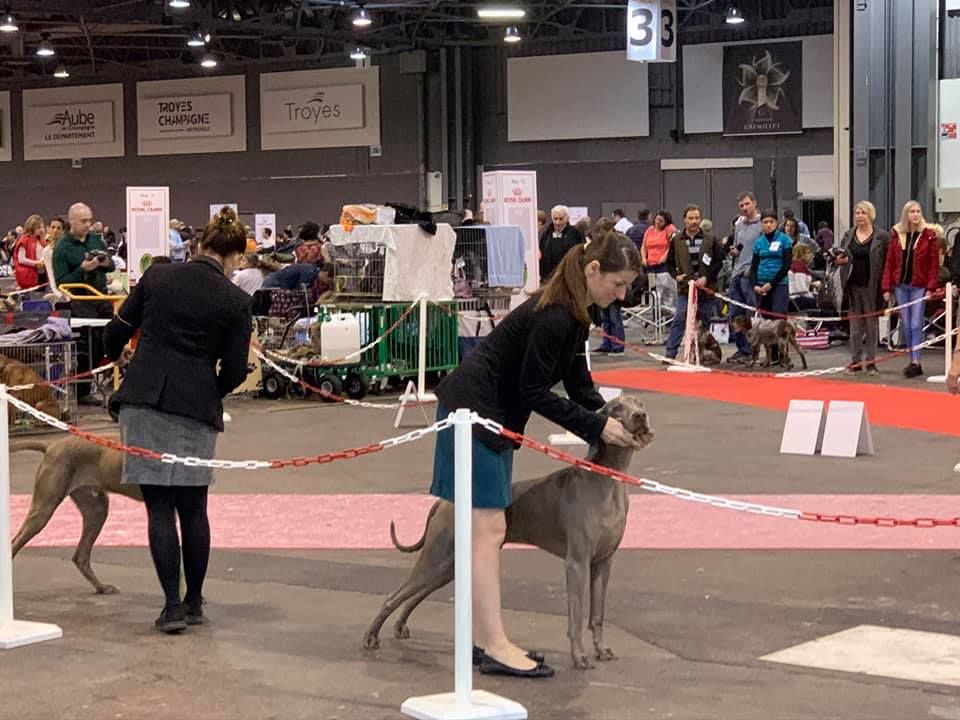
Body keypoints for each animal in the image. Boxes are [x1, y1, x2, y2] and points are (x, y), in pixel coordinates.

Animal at [364, 394, 656, 668]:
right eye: (616, 408)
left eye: (639, 403)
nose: (641, 416)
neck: (608, 483)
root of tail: (445, 502)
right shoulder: (577, 563)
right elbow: (576, 617)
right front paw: (580, 657)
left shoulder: (603, 563)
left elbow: (597, 615)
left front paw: (601, 650)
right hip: (437, 557)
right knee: (394, 596)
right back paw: (371, 636)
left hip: (447, 566)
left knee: (414, 596)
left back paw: (400, 626)